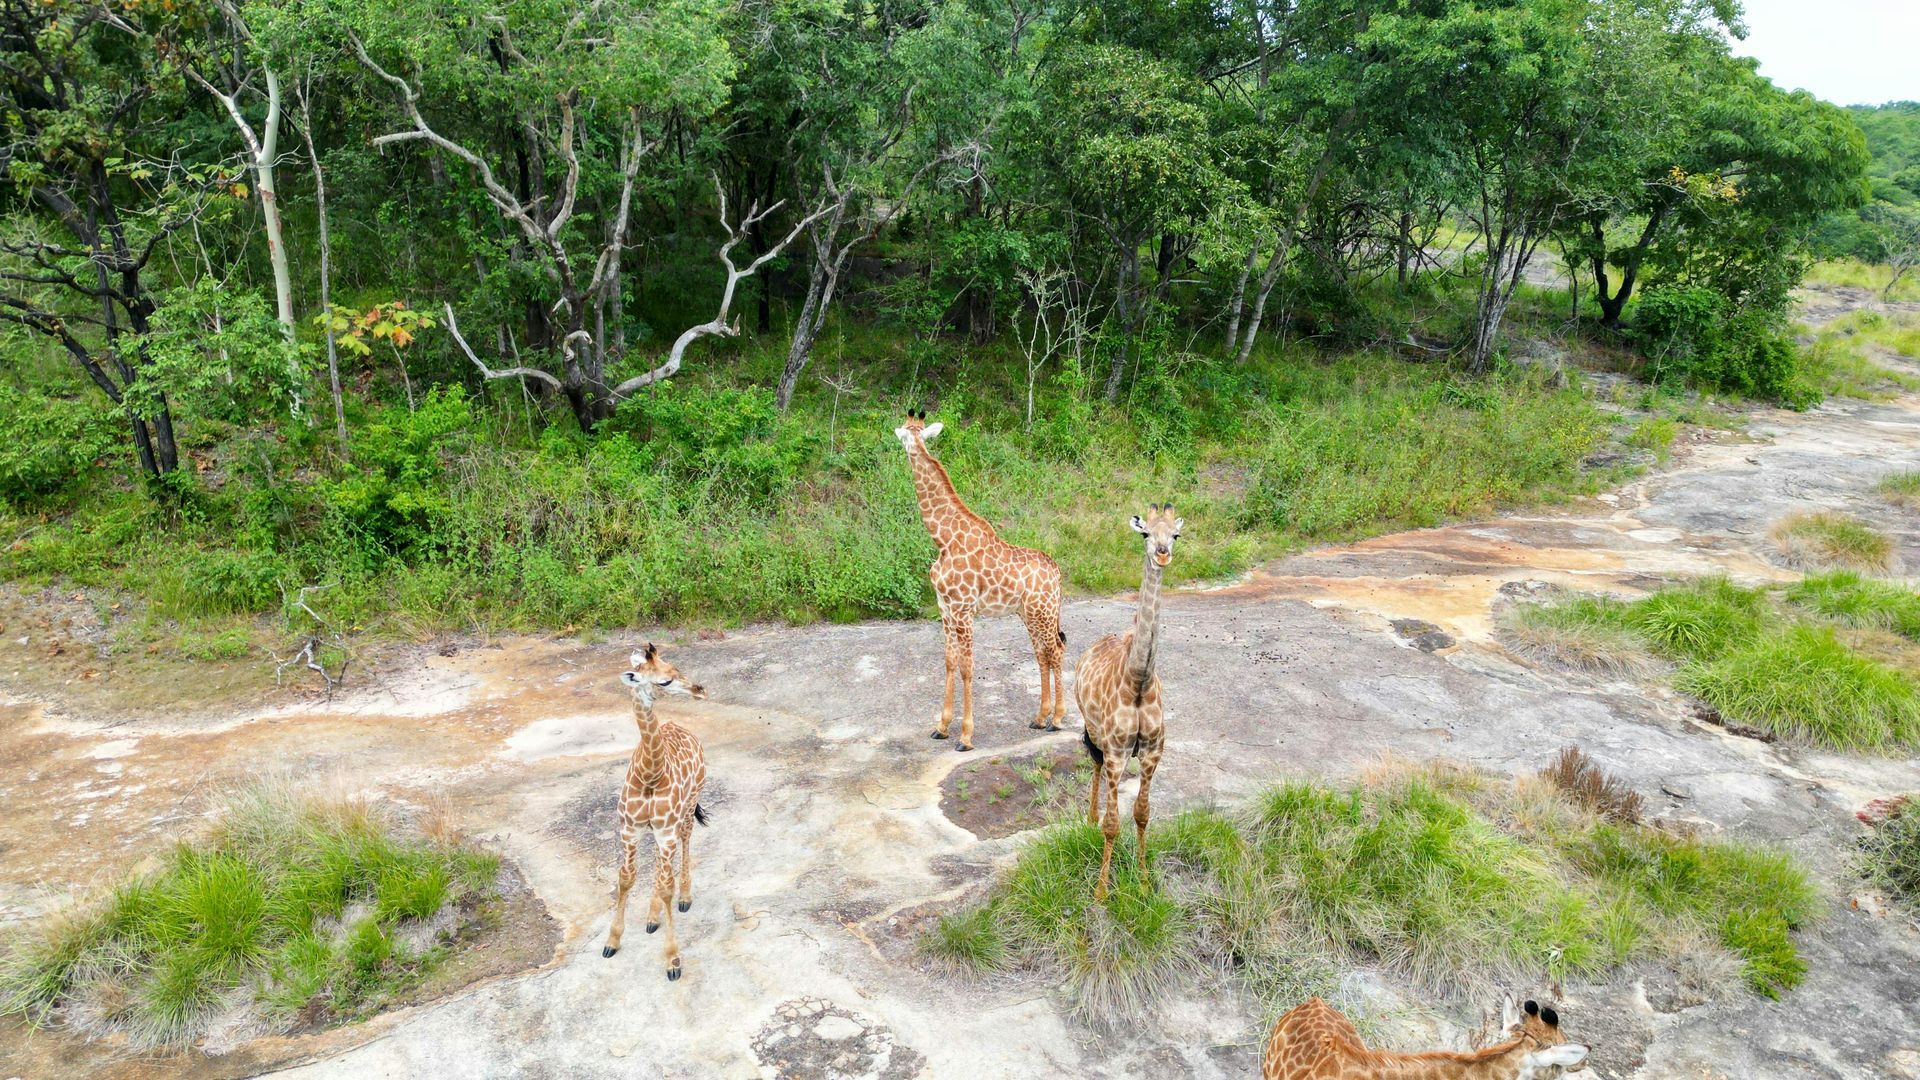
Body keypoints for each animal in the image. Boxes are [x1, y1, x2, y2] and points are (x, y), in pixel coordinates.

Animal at [602, 643, 709, 982]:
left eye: (676, 668)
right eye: (664, 681)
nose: (700, 690)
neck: (649, 775)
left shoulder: (664, 830)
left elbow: (666, 888)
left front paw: (673, 961)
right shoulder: (630, 829)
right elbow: (626, 878)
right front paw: (612, 941)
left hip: (688, 806)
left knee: (685, 841)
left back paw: (684, 898)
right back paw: (652, 917)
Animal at [893, 408, 1066, 751]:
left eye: (907, 434)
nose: (899, 446)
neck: (943, 539)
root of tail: (1056, 573)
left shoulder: (963, 610)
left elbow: (967, 667)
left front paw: (965, 736)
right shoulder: (945, 608)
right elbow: (949, 662)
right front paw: (941, 727)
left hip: (1042, 612)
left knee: (1056, 651)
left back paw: (1056, 719)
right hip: (1030, 613)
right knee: (1043, 654)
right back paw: (1039, 718)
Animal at [1074, 503, 1180, 901]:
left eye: (1176, 535)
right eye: (1145, 533)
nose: (1162, 554)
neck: (1138, 680)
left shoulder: (1151, 753)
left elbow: (1141, 814)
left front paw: (1145, 880)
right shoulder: (1119, 752)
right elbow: (1111, 824)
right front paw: (1102, 892)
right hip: (1095, 731)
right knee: (1093, 761)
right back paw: (1088, 817)